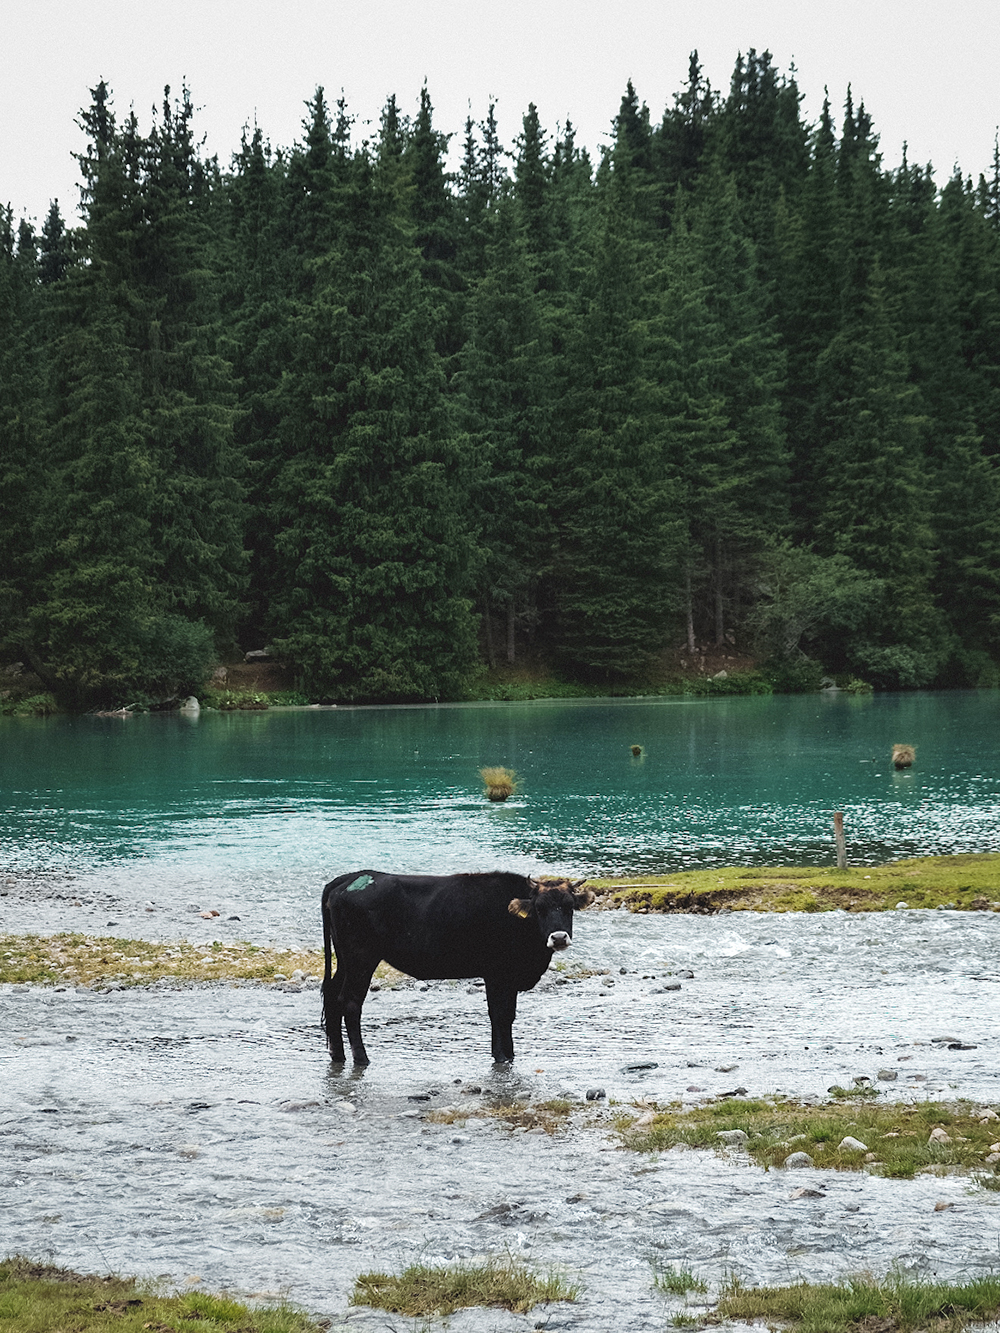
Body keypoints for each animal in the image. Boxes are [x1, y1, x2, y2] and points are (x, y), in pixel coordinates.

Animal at [321, 869, 592, 1066]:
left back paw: (338, 1054)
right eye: (539, 908)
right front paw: (501, 1055)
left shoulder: (508, 977)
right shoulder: (496, 975)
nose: (559, 937)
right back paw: (361, 1058)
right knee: (351, 1002)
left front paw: (509, 1054)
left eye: (569, 907)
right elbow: (499, 1014)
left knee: (332, 995)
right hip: (361, 959)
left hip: (345, 960)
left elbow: (509, 1015)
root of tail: (350, 878)